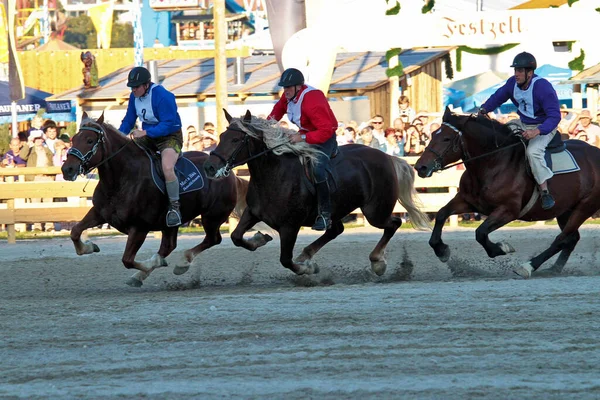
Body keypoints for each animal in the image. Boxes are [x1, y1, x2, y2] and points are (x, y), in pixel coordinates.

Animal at [204, 111, 428, 276]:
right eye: (222, 137)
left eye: (235, 139)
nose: (209, 166)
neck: (273, 175)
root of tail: (388, 157)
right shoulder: (252, 213)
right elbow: (236, 237)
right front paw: (259, 239)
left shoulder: (289, 226)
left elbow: (285, 259)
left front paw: (306, 269)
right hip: (339, 211)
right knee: (335, 230)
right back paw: (306, 254)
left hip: (375, 212)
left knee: (393, 223)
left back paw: (377, 262)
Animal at [414, 107, 600, 278]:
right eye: (432, 135)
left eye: (446, 138)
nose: (420, 167)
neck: (493, 164)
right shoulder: (467, 201)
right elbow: (441, 214)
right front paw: (441, 250)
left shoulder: (508, 210)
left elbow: (480, 233)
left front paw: (501, 248)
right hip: (564, 210)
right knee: (571, 239)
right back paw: (554, 269)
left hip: (584, 207)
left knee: (562, 239)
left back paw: (528, 266)